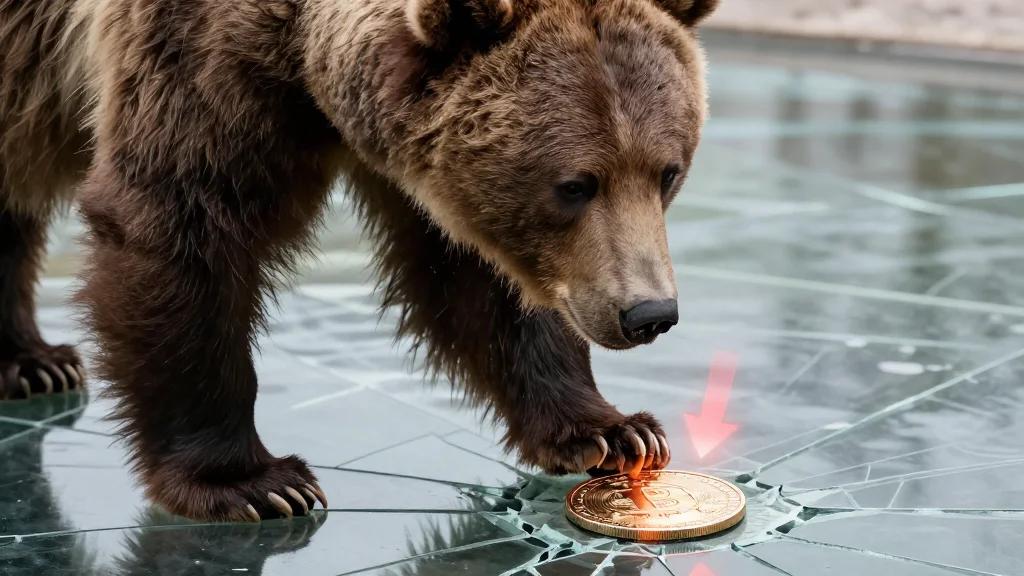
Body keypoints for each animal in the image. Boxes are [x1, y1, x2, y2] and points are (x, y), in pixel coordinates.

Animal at [0, 0, 718, 521]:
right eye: (574, 185)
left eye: (667, 172)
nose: (649, 313)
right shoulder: (194, 64)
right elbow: (181, 224)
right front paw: (255, 482)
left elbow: (472, 273)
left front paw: (614, 431)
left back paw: (33, 361)